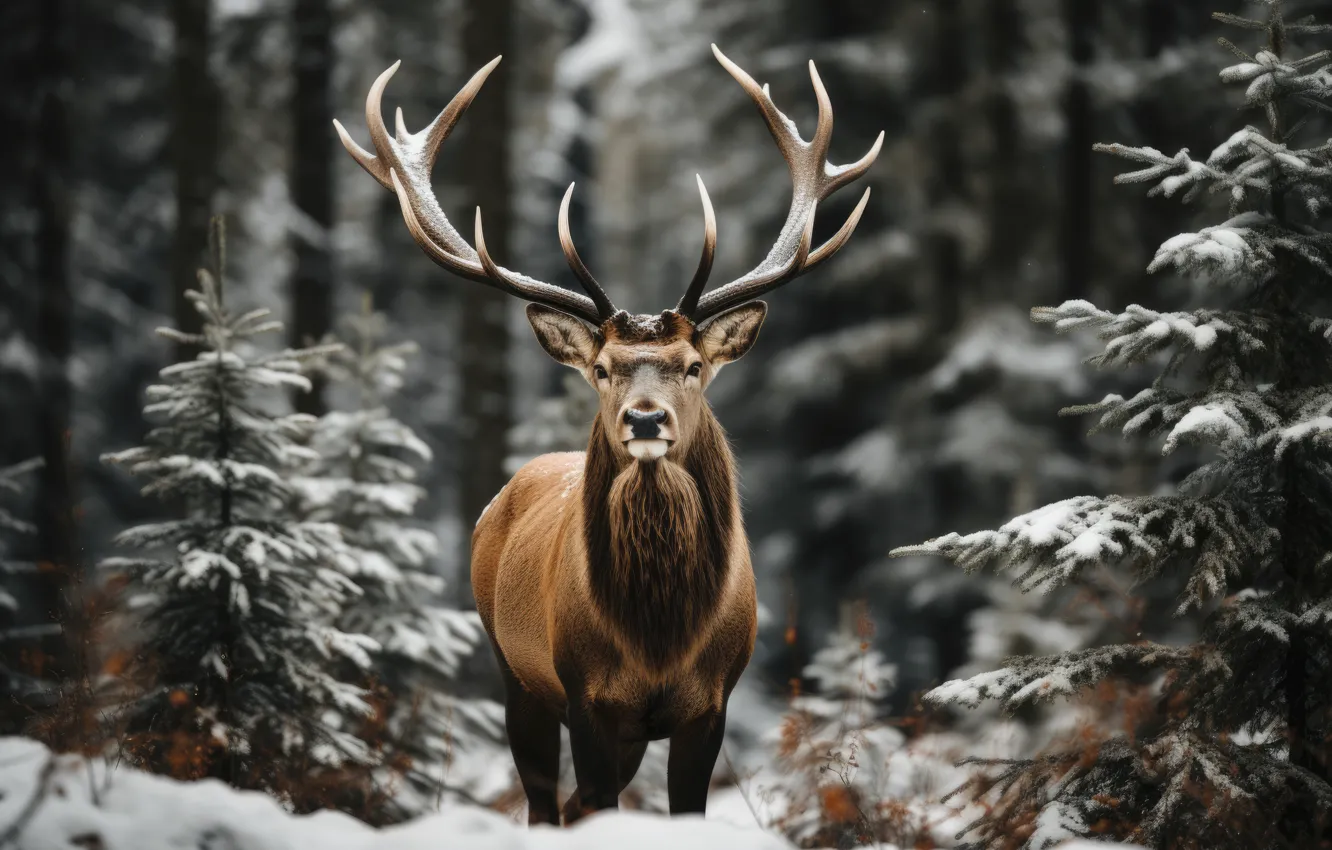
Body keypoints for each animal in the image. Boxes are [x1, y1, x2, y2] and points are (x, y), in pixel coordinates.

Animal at [335, 45, 881, 824]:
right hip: (514, 671)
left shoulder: (710, 704)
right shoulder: (584, 696)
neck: (656, 639)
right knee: (546, 802)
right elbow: (585, 802)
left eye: (692, 366)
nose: (646, 418)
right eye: (600, 368)